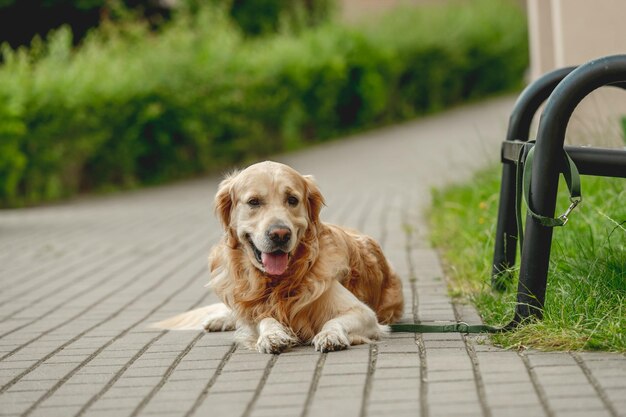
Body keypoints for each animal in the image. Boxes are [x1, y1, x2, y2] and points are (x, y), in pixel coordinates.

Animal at [154, 161, 402, 352]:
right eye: (253, 202)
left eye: (292, 200)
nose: (280, 234)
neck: (279, 282)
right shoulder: (255, 308)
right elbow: (263, 318)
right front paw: (272, 335)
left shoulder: (365, 314)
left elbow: (334, 321)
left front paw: (330, 335)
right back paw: (220, 319)